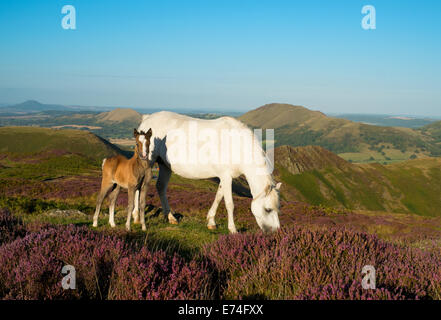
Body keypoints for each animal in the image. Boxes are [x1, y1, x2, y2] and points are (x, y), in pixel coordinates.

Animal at [138, 111, 280, 234]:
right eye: (268, 209)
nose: (276, 232)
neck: (236, 145)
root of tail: (147, 118)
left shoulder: (225, 177)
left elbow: (218, 197)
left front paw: (211, 222)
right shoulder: (226, 177)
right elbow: (229, 204)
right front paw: (233, 229)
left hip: (165, 166)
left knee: (161, 187)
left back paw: (170, 218)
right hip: (147, 161)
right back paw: (136, 217)